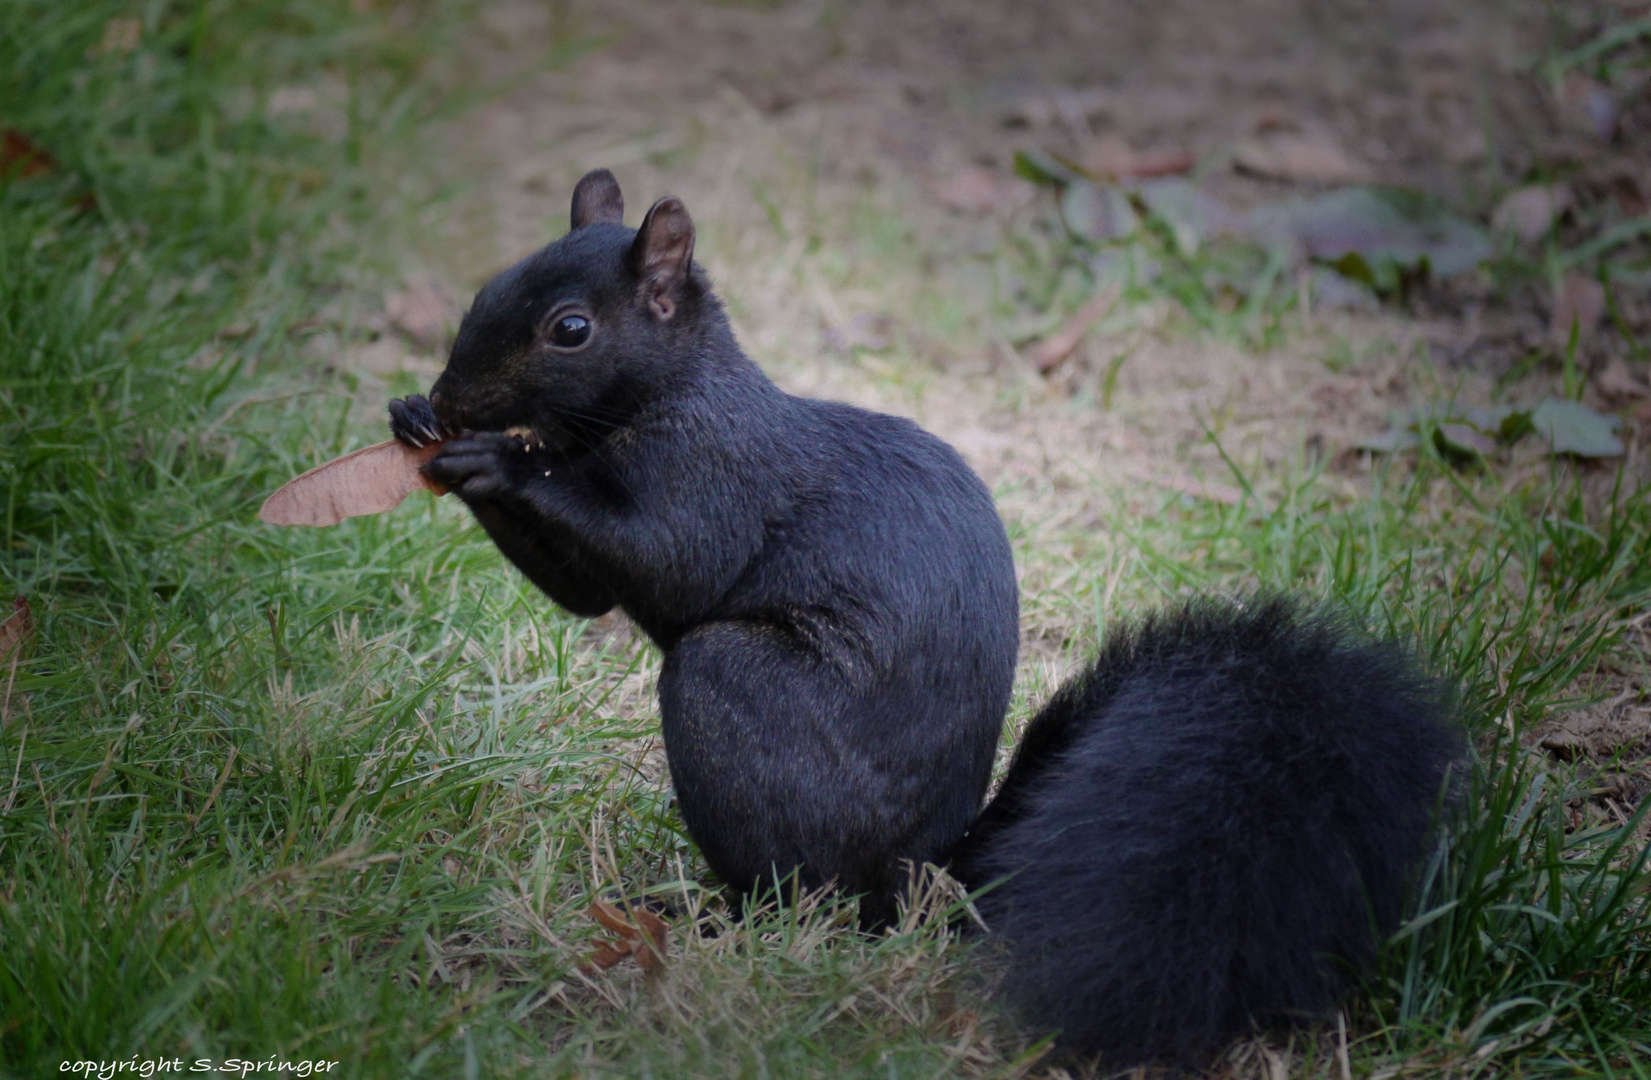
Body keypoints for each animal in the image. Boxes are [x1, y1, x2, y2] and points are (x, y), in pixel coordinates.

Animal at [389, 169, 1472, 1063]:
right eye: (487, 288)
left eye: (570, 330)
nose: (452, 395)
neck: (665, 397)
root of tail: (926, 870)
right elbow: (586, 596)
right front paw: (418, 423)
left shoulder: (712, 479)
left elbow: (665, 560)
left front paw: (499, 460)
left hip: (737, 697)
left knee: (807, 891)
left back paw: (715, 915)